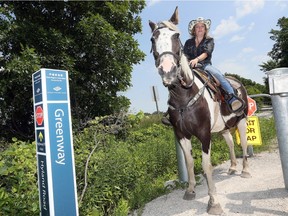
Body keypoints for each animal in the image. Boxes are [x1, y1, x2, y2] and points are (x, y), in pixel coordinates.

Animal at [150, 6, 251, 214]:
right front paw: (190, 190)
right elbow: (189, 162)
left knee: (243, 143)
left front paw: (214, 202)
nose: (167, 70)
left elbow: (206, 165)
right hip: (224, 127)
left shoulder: (204, 134)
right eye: (152, 39)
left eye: (176, 35)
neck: (184, 95)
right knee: (230, 143)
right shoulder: (181, 134)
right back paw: (232, 167)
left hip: (242, 121)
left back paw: (244, 170)